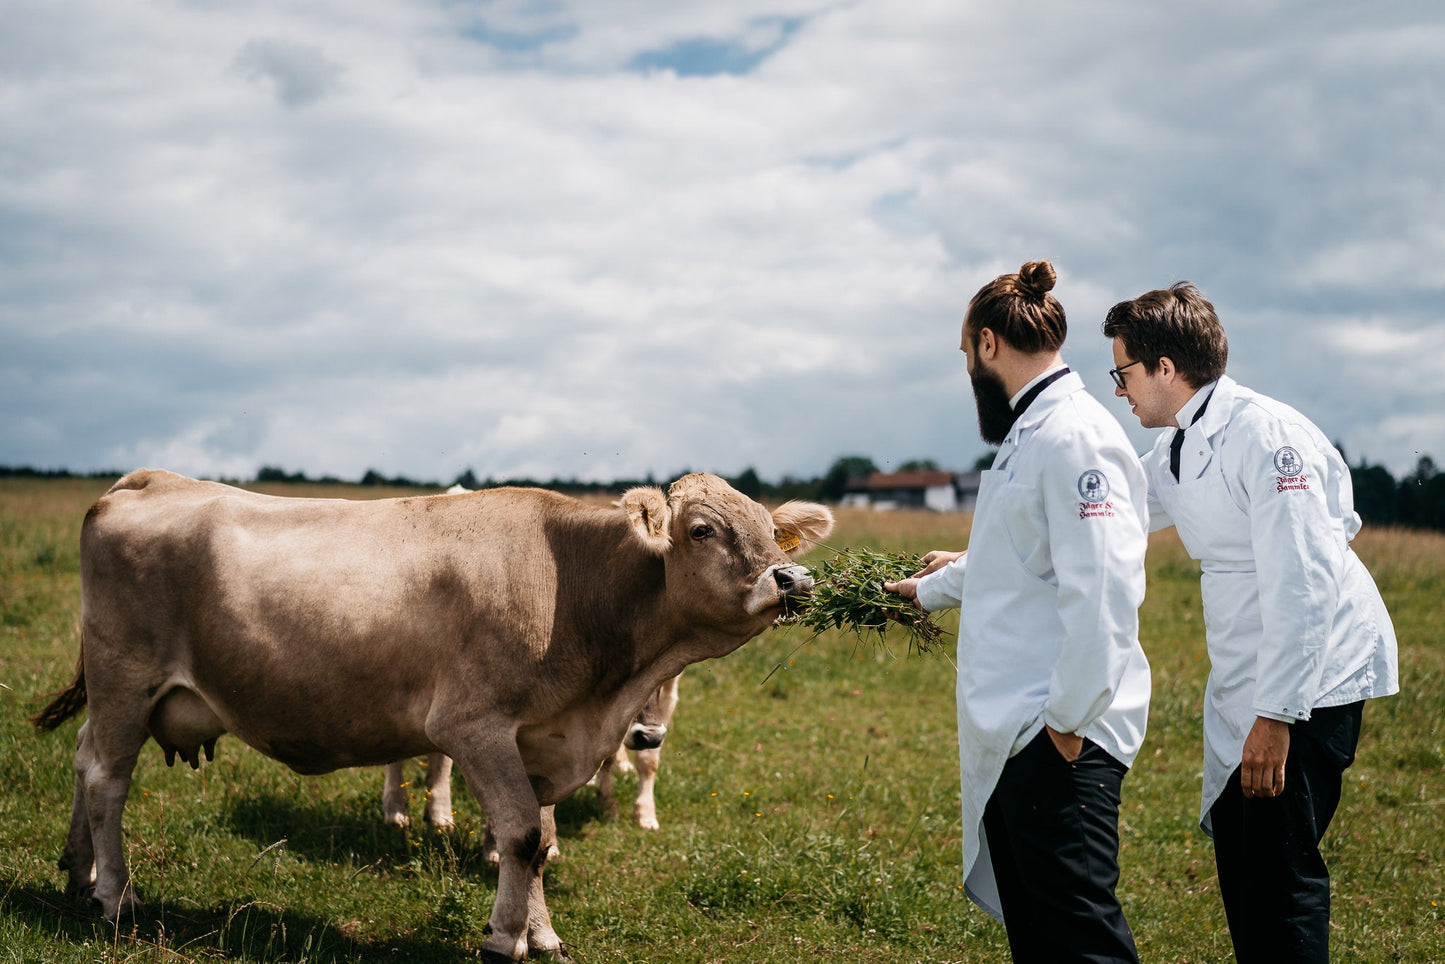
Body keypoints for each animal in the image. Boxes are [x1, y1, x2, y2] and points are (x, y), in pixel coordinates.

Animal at [36, 471, 838, 959]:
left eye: (771, 530)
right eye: (702, 530)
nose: (792, 578)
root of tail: (151, 479)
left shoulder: (539, 739)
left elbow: (539, 840)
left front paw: (542, 936)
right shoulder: (472, 728)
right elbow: (519, 835)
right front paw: (503, 941)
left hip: (120, 694)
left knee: (82, 760)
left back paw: (77, 870)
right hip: (126, 679)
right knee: (107, 778)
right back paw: (114, 895)